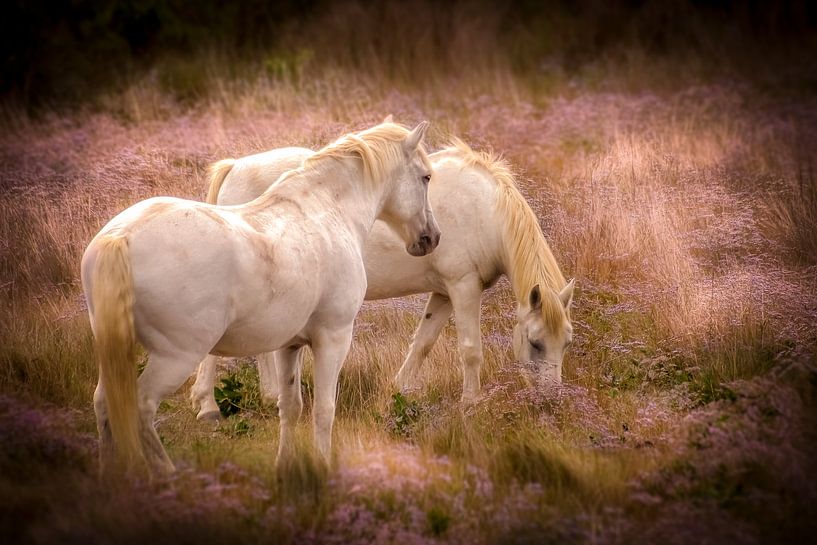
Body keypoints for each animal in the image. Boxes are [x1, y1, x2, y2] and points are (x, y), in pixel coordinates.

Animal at [81, 121, 440, 474]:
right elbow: (324, 410)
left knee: (104, 403)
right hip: (176, 357)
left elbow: (290, 407)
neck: (327, 209)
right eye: (426, 176)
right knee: (140, 406)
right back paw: (169, 471)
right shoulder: (333, 338)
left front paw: (284, 466)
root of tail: (120, 236)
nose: (431, 238)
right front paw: (323, 467)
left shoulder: (289, 345)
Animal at [191, 138, 572, 418]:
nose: (552, 401)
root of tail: (234, 167)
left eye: (566, 343)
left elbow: (422, 344)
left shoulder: (444, 294)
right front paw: (470, 405)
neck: (484, 208)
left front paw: (396, 392)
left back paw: (270, 396)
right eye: (535, 342)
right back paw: (208, 405)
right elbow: (470, 350)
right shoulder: (464, 287)